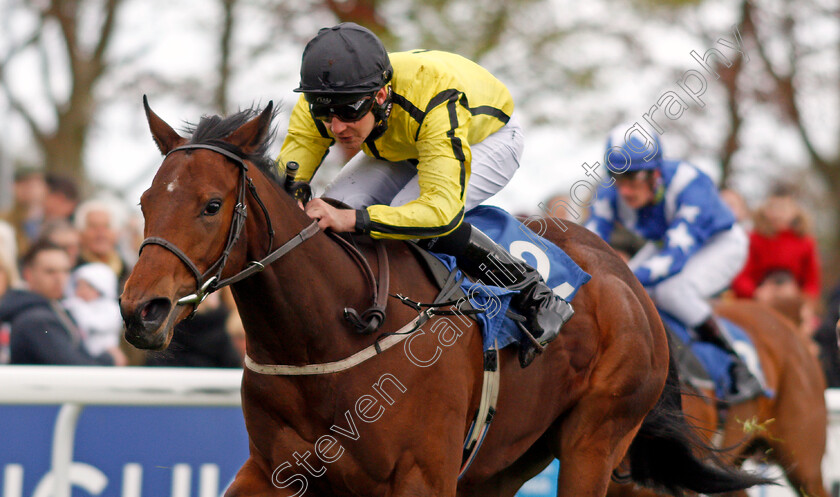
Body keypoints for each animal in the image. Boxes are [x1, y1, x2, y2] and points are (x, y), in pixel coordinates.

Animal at [121, 101, 772, 496]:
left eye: (210, 206)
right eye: (146, 202)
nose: (140, 312)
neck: (324, 334)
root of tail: (630, 282)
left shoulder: (421, 476)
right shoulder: (275, 469)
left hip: (597, 442)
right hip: (509, 462)